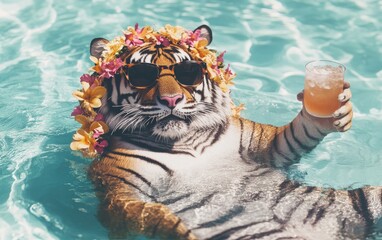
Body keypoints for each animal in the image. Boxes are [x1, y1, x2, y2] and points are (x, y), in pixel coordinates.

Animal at [82, 24, 380, 240]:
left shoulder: (264, 144)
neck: (185, 141)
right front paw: (181, 227)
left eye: (187, 72)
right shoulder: (118, 192)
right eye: (142, 76)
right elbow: (150, 213)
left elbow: (297, 134)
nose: (171, 100)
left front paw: (334, 111)